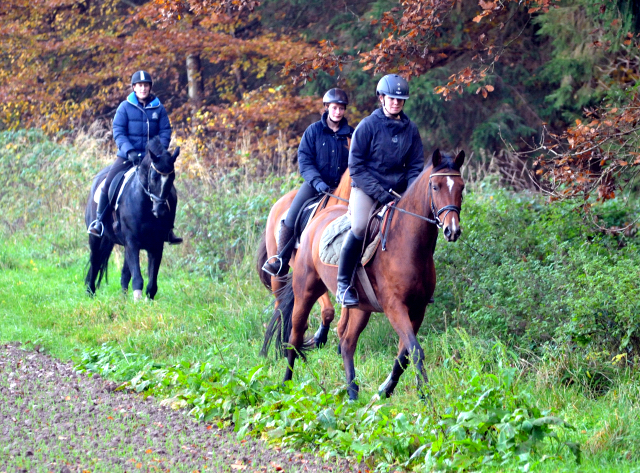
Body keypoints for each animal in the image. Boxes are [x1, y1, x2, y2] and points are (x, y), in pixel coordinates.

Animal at [84, 135, 180, 300]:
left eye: (172, 177)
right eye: (153, 176)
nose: (160, 211)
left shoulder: (156, 244)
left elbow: (152, 283)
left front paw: (147, 300)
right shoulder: (132, 242)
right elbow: (137, 278)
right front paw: (138, 300)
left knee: (124, 274)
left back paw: (123, 299)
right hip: (97, 238)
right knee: (95, 261)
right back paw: (90, 292)